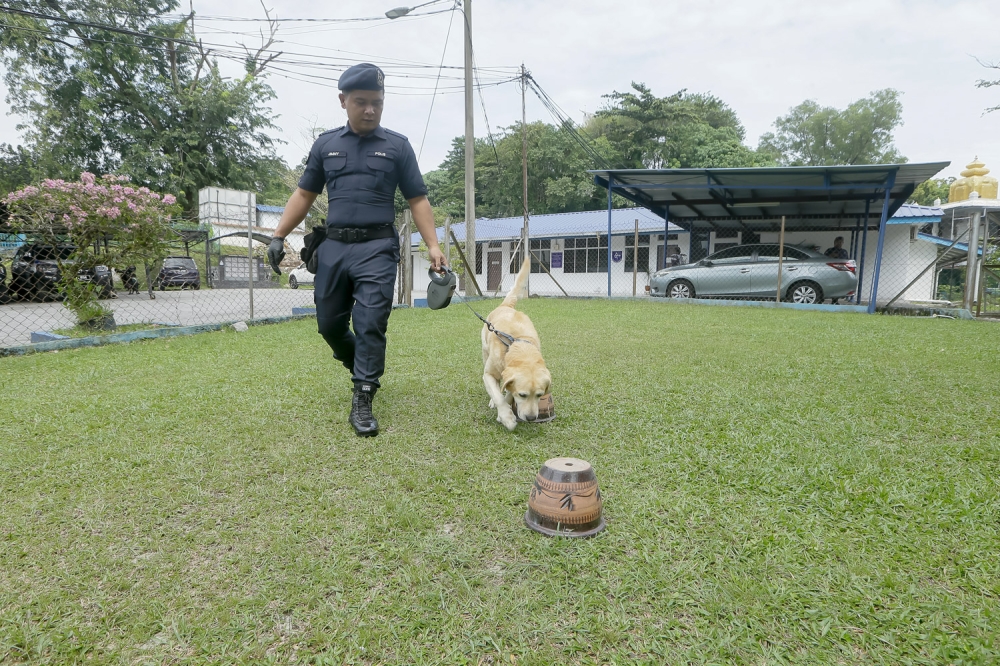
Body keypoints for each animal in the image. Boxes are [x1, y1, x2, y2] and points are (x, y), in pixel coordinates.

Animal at [480, 254, 552, 430]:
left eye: (539, 395)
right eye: (523, 394)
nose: (532, 418)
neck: (515, 345)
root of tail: (506, 305)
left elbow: (507, 393)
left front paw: (504, 415)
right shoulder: (488, 374)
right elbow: (498, 395)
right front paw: (507, 418)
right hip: (485, 353)